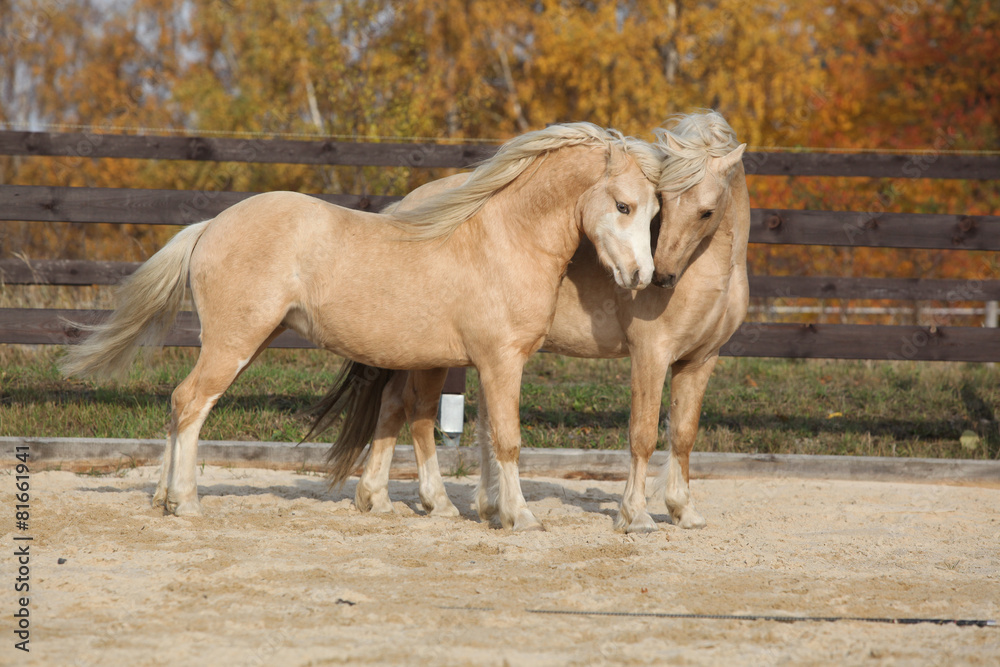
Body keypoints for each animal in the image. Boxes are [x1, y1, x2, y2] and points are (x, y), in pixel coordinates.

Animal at [60, 122, 663, 531]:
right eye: (623, 205)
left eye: (655, 212)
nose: (642, 276)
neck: (502, 239)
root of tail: (211, 225)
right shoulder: (500, 361)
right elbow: (506, 441)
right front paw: (520, 518)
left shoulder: (457, 363)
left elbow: (433, 426)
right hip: (235, 342)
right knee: (191, 403)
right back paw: (184, 502)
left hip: (249, 340)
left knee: (181, 402)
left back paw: (163, 499)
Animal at [338, 110, 748, 532]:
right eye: (664, 205)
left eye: (706, 211)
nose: (660, 276)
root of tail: (405, 207)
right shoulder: (651, 355)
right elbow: (644, 434)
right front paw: (636, 516)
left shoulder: (700, 361)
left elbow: (683, 434)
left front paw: (685, 511)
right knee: (406, 406)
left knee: (391, 405)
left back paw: (379, 497)